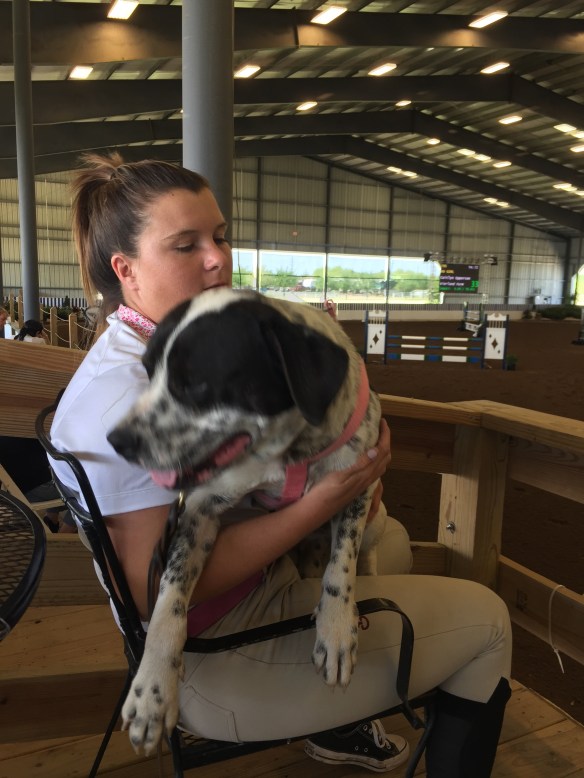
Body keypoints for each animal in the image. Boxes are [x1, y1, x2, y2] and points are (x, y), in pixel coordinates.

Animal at [107, 288, 383, 754]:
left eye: (195, 384)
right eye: (148, 371)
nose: (116, 441)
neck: (289, 451)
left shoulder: (359, 483)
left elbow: (340, 566)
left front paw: (336, 627)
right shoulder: (199, 508)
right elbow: (168, 598)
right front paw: (152, 691)